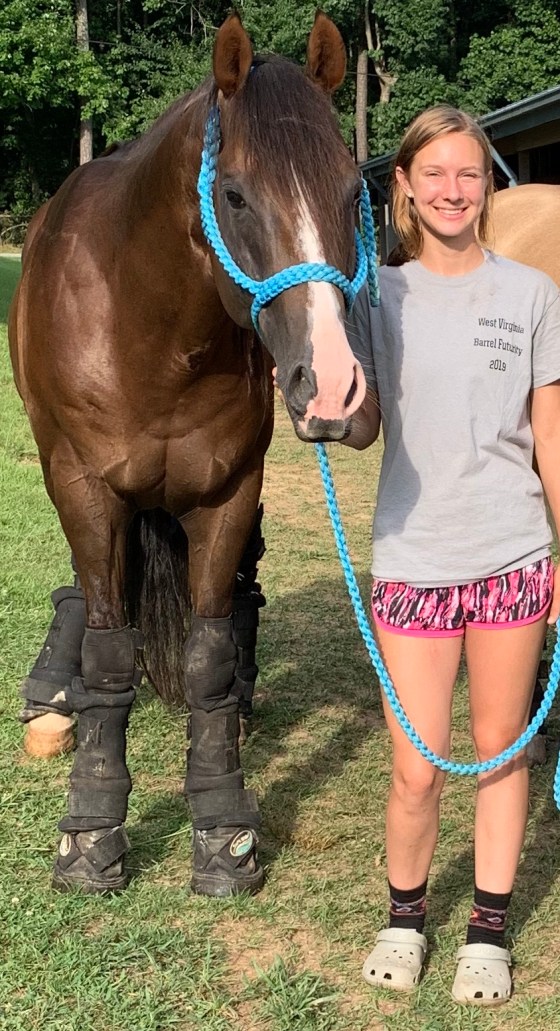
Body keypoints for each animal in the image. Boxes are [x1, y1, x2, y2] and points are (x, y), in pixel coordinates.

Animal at [8, 12, 369, 897]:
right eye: (233, 194)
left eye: (354, 192)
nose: (333, 384)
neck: (143, 323)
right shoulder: (86, 490)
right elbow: (108, 655)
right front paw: (90, 832)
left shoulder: (228, 492)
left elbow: (206, 656)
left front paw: (222, 826)